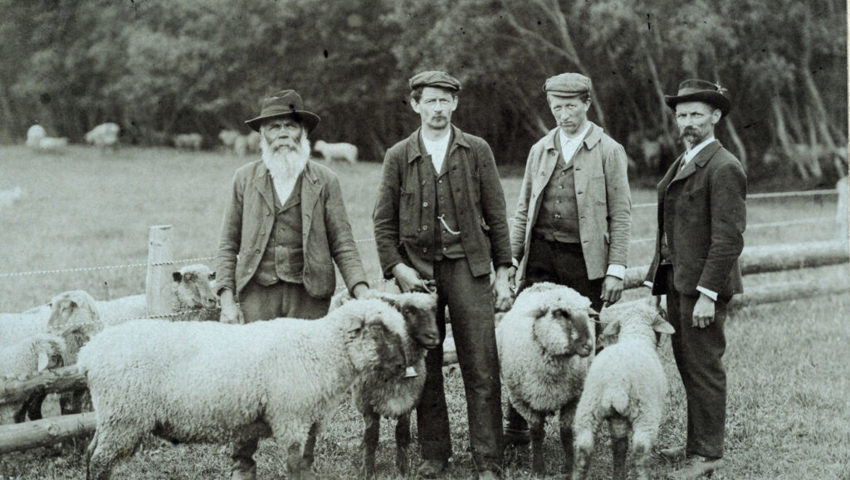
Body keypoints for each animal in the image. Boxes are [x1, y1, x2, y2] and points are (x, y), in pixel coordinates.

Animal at [78, 298, 410, 478]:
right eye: (379, 331)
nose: (402, 366)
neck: (322, 350)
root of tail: (90, 352)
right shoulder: (290, 418)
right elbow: (294, 466)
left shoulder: (310, 420)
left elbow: (306, 462)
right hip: (124, 416)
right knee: (100, 461)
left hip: (113, 418)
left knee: (92, 454)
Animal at [494, 282, 592, 476]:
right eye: (561, 312)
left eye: (587, 312)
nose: (589, 345)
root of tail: (544, 284)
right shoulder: (523, 400)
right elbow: (536, 432)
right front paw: (538, 469)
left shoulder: (573, 398)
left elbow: (566, 432)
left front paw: (569, 466)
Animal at [572, 300, 672, 480]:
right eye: (660, 312)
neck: (635, 336)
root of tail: (616, 384)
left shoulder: (617, 419)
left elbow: (620, 446)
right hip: (645, 414)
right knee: (640, 450)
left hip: (588, 409)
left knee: (584, 448)